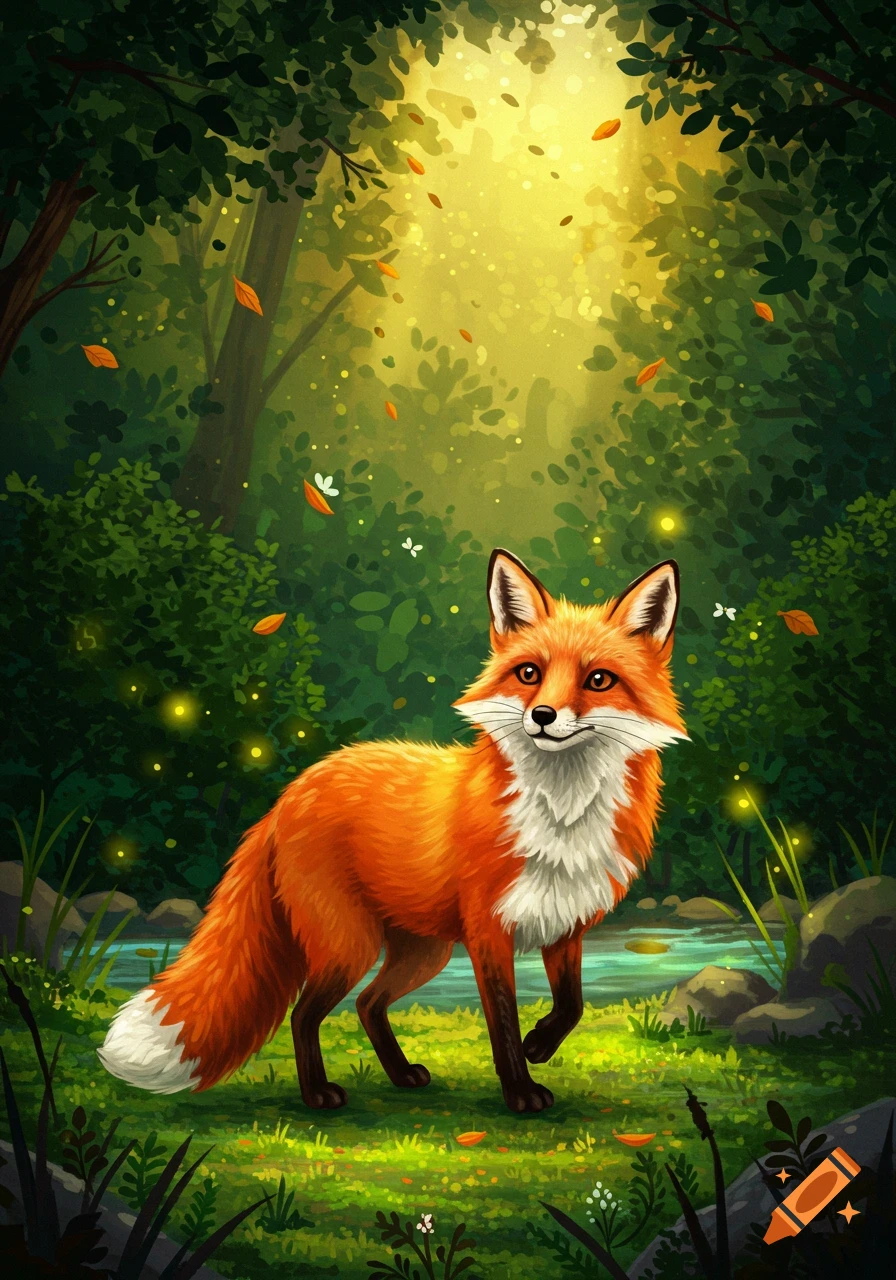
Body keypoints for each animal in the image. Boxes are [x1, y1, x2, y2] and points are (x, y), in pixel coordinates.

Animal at [99, 549, 687, 1114]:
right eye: (528, 673)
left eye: (598, 680)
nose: (542, 715)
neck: (561, 813)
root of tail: (290, 794)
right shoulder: (488, 932)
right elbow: (501, 1022)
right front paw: (521, 1093)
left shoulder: (565, 924)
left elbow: (572, 1005)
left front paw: (540, 1044)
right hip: (350, 945)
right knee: (304, 1014)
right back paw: (318, 1095)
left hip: (423, 953)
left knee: (367, 1003)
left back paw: (401, 1074)